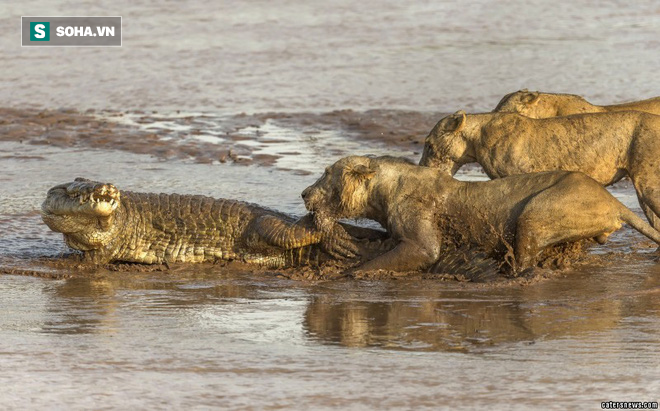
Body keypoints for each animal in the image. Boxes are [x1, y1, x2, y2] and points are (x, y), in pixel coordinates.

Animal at [302, 156, 660, 276]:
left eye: (326, 174)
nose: (305, 193)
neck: (382, 191)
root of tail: (613, 201)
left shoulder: (421, 238)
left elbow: (417, 253)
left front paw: (348, 273)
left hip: (536, 211)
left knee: (525, 258)